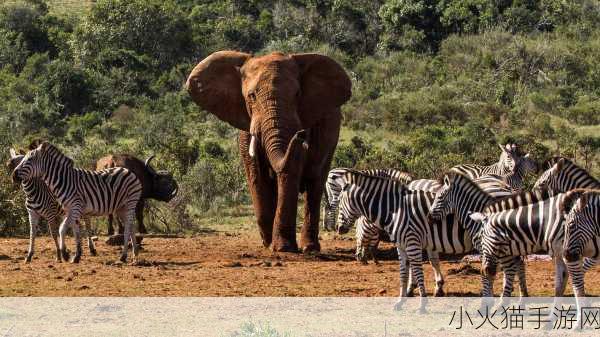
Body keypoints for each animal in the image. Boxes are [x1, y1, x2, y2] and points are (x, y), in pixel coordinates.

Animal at [12, 142, 144, 262]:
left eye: (30, 159)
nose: (13, 176)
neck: (63, 181)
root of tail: (127, 170)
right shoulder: (68, 209)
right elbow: (74, 230)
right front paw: (76, 255)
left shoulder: (74, 207)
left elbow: (61, 229)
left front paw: (65, 254)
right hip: (120, 207)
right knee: (131, 226)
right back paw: (134, 254)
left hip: (130, 203)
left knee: (127, 228)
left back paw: (123, 256)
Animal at [185, 51, 350, 251]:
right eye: (251, 96)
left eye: (297, 95)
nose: (301, 135)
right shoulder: (245, 129)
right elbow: (257, 176)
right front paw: (270, 243)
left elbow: (292, 170)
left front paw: (283, 248)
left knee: (315, 182)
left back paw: (309, 248)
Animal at [338, 171, 474, 310]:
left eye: (340, 204)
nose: (339, 229)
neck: (397, 211)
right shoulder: (407, 244)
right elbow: (407, 271)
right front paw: (404, 297)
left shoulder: (414, 243)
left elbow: (420, 269)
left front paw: (422, 299)